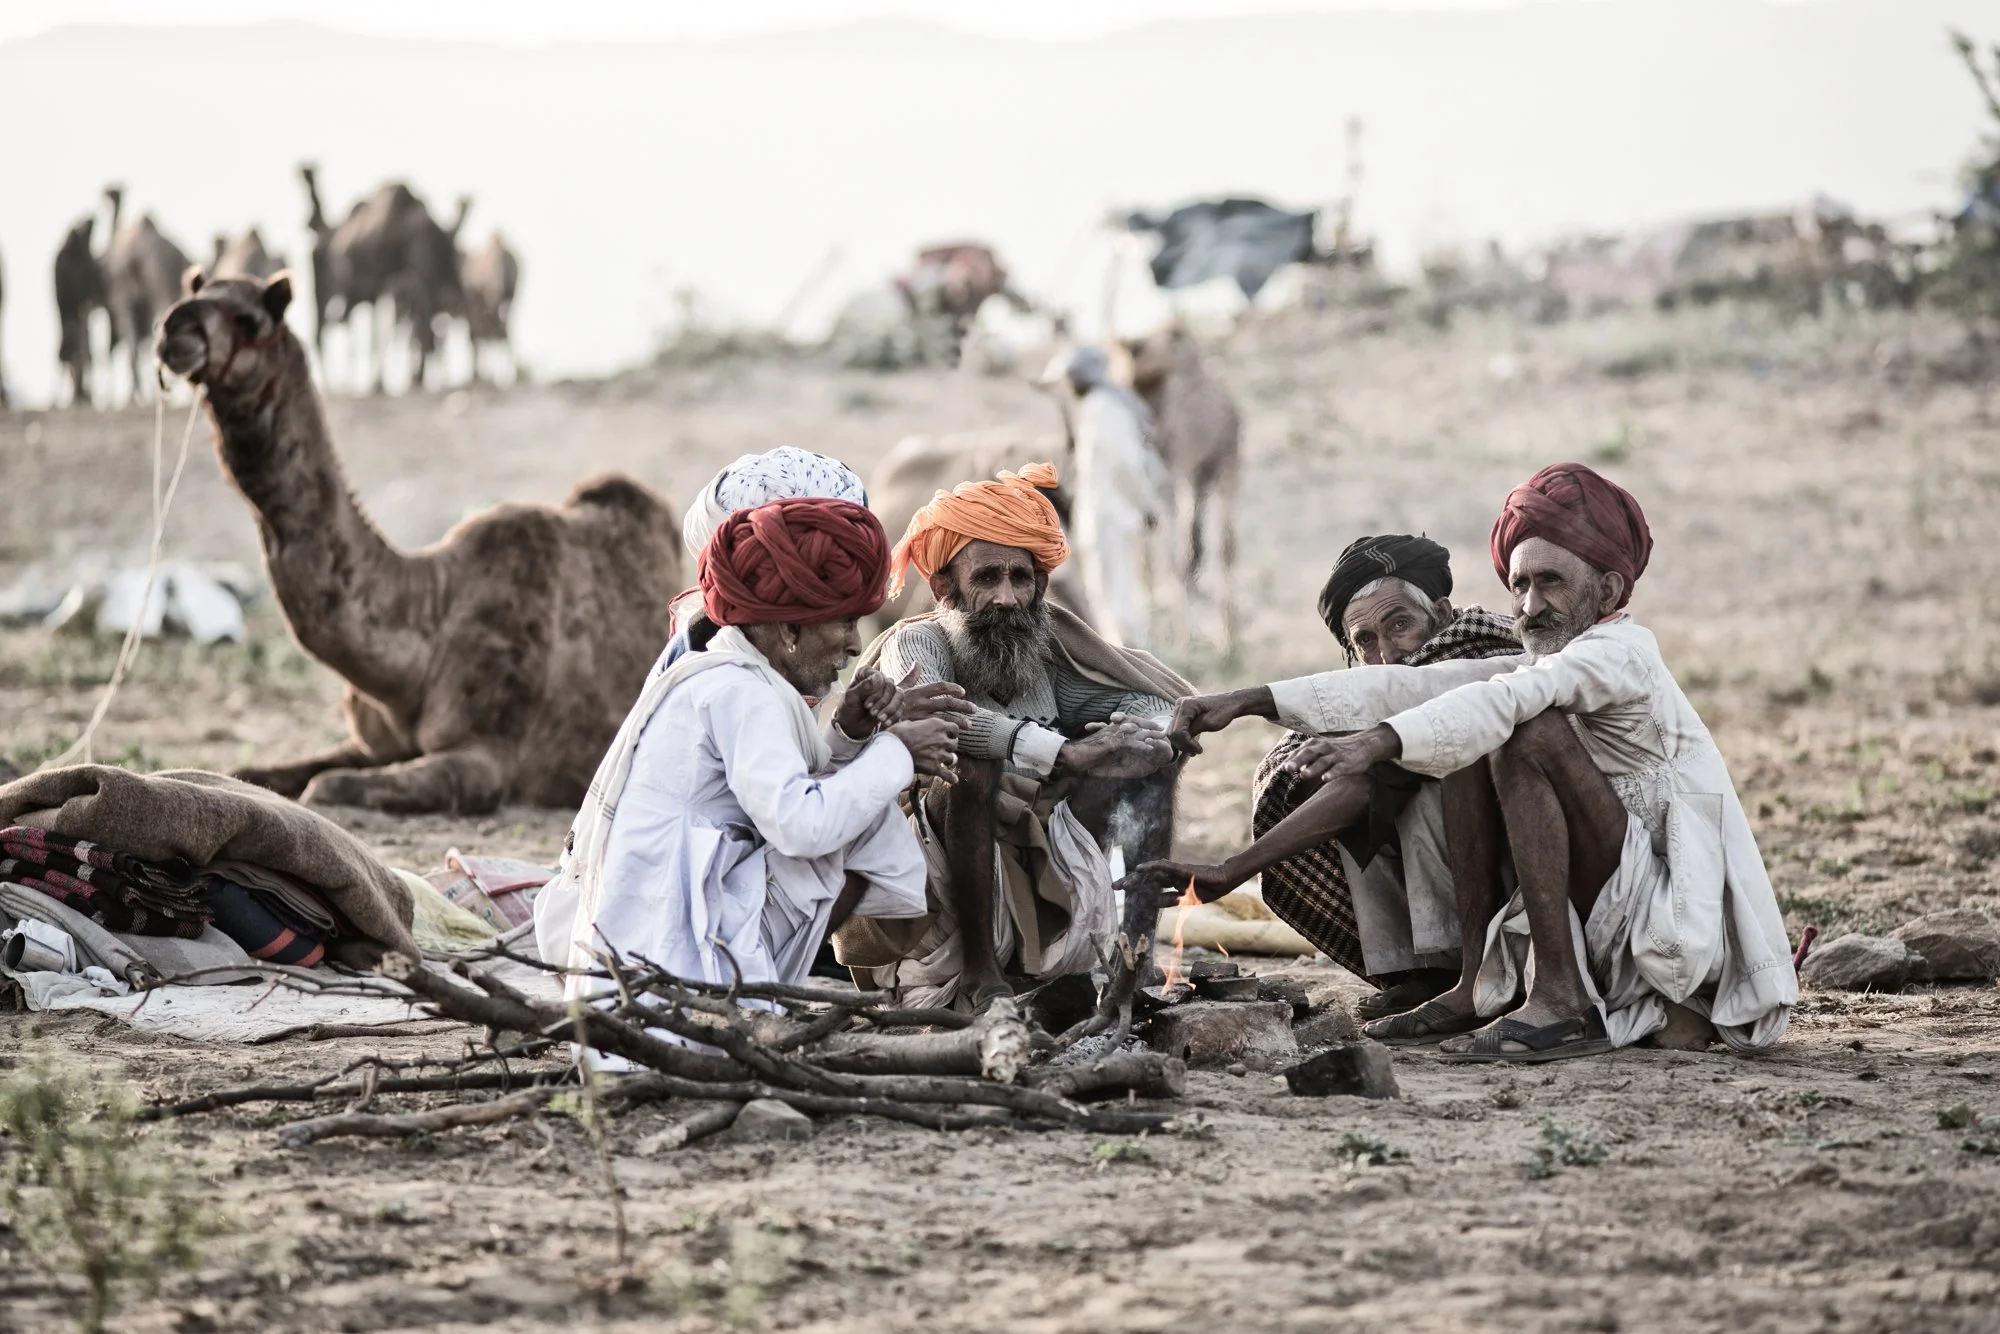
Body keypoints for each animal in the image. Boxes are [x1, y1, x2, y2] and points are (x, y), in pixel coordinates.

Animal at [155, 271, 684, 814]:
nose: (176, 329)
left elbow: (327, 784)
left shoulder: (487, 756)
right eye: (196, 292)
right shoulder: (372, 741)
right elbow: (251, 772)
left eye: (248, 319)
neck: (425, 625)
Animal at [1120, 325, 1242, 650]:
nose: (1128, 347)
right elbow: (1152, 560)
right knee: (1202, 547)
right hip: (1207, 476)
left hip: (1217, 468)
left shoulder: (1179, 474)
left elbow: (1179, 555)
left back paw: (1220, 638)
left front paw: (1180, 641)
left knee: (1211, 548)